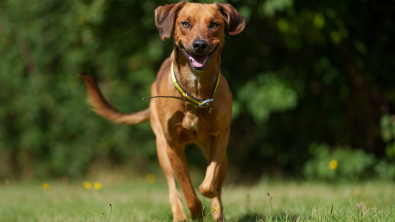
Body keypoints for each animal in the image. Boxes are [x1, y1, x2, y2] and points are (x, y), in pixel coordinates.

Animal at [81, 1, 244, 220]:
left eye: (214, 24)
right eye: (185, 23)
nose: (200, 45)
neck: (195, 91)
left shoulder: (220, 135)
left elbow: (211, 179)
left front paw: (207, 197)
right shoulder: (172, 145)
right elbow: (186, 187)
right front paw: (196, 211)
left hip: (216, 152)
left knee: (217, 181)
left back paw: (216, 212)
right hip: (161, 148)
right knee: (172, 188)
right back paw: (180, 216)